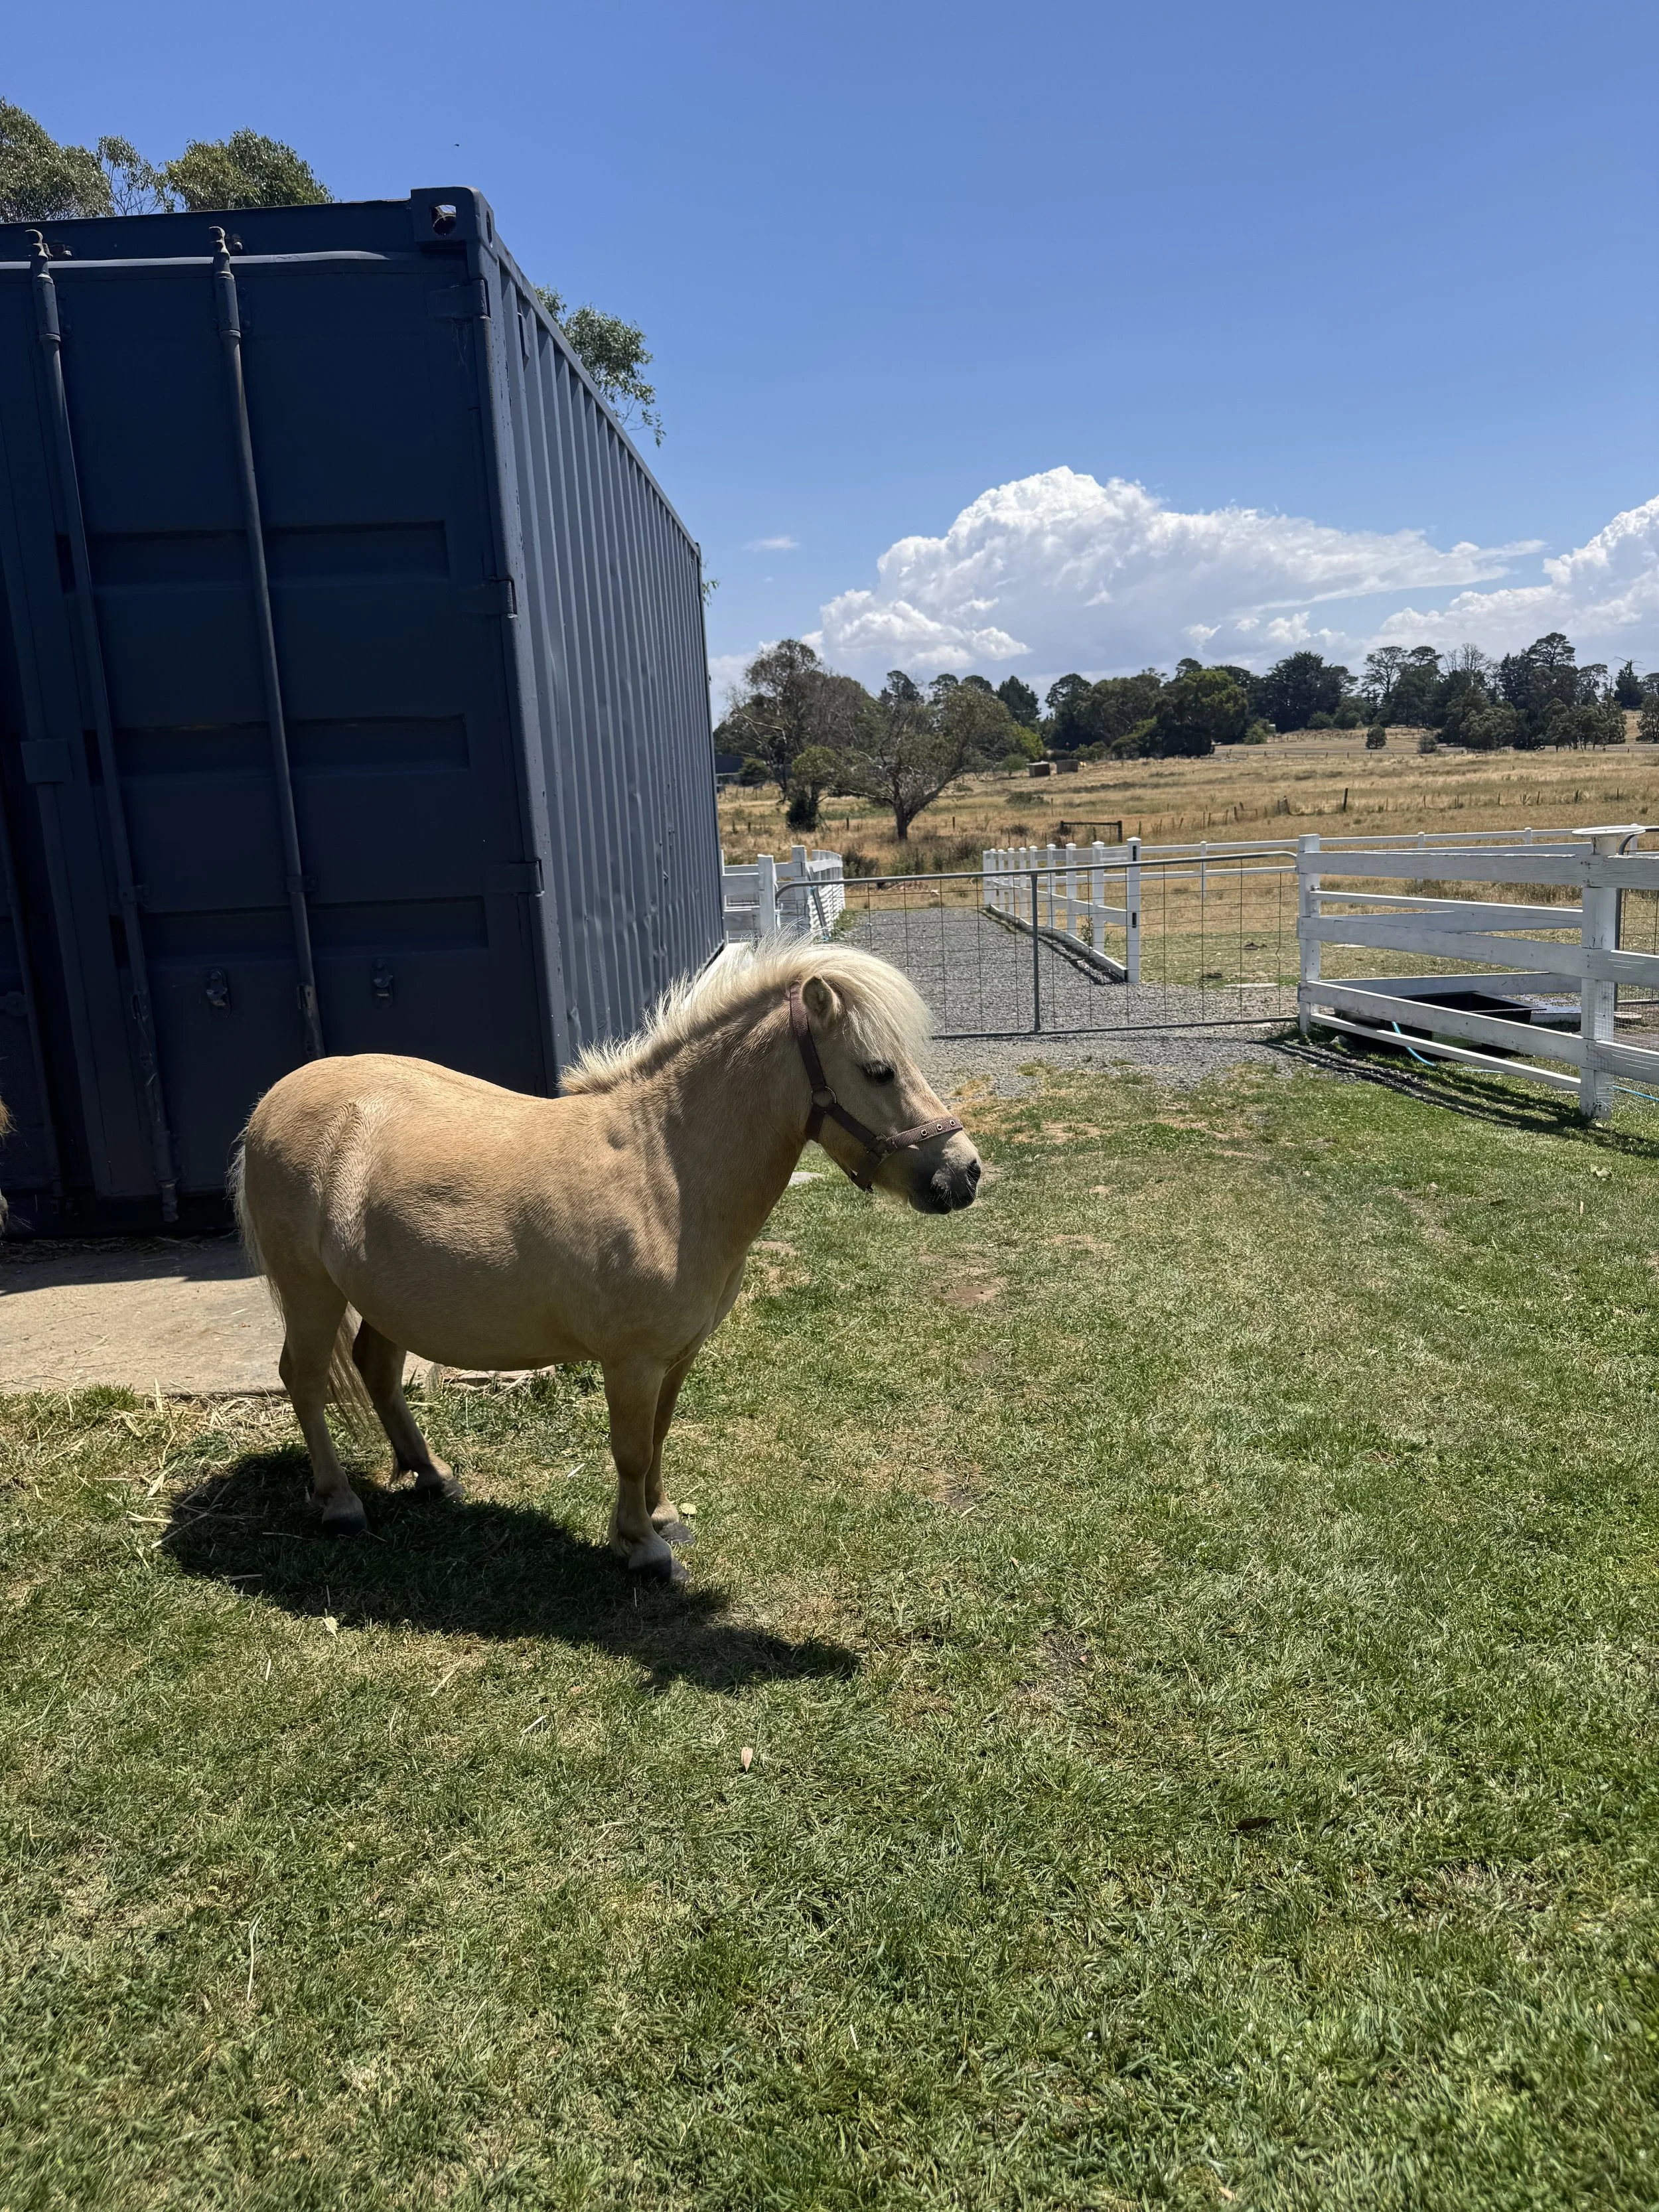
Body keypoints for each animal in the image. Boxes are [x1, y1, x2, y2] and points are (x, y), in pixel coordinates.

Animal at [232, 939, 981, 1577]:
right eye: (878, 1070)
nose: (965, 1173)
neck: (666, 1168)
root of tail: (273, 1102)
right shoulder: (633, 1362)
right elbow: (630, 1448)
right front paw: (642, 1547)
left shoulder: (676, 1357)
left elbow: (658, 1437)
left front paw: (662, 1516)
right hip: (311, 1292)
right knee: (303, 1379)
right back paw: (339, 1503)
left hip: (388, 1300)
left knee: (376, 1372)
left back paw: (431, 1474)